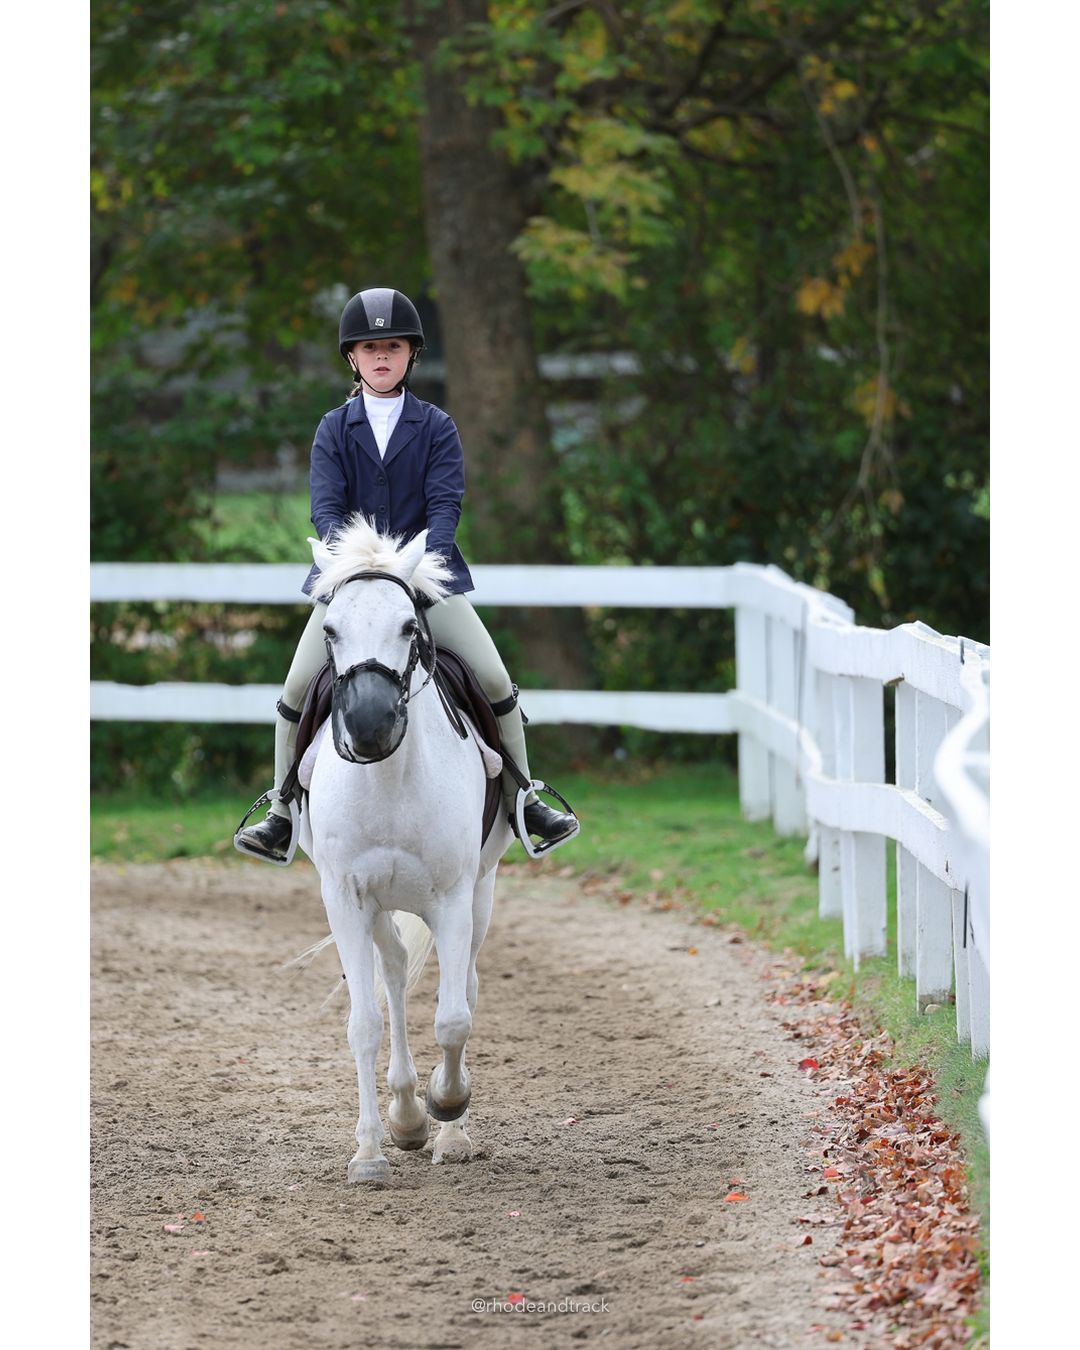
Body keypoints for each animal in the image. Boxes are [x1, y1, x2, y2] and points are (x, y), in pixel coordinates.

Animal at [291, 517, 514, 1182]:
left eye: (409, 626)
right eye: (331, 629)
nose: (369, 727)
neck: (389, 776)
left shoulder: (453, 898)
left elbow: (453, 1018)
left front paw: (449, 1106)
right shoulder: (344, 898)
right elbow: (363, 1024)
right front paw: (369, 1153)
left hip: (480, 894)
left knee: (464, 988)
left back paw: (445, 1129)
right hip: (378, 905)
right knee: (391, 973)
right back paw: (407, 1116)